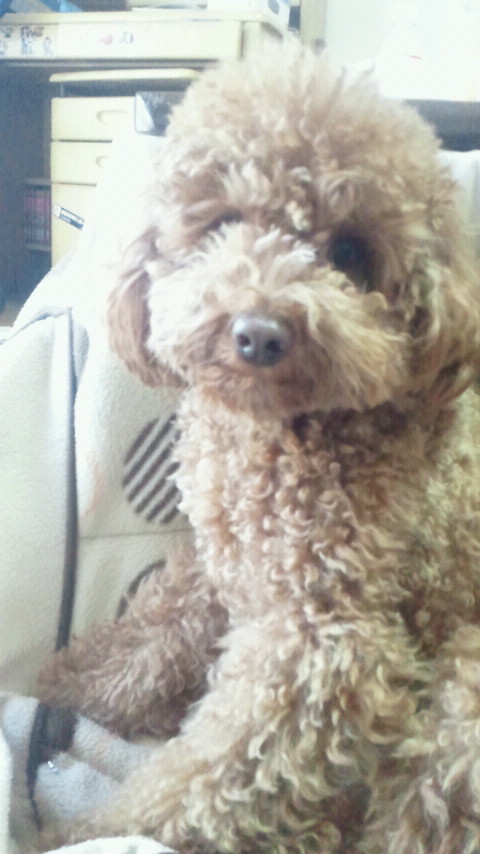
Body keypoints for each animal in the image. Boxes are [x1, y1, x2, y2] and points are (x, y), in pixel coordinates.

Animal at [39, 40, 480, 854]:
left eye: (349, 253)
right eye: (223, 222)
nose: (260, 333)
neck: (284, 432)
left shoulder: (321, 645)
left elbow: (212, 772)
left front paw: (93, 829)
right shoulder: (222, 568)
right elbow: (149, 640)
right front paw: (67, 683)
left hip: (463, 704)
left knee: (417, 810)